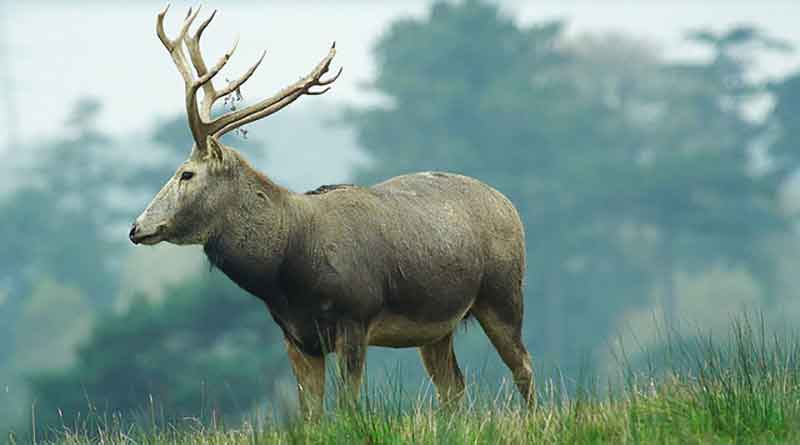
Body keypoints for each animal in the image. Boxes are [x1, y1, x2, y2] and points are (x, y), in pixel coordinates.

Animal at [128, 5, 536, 418]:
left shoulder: (355, 316)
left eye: (186, 173)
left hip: (503, 292)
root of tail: (509, 205)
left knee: (523, 366)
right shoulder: (296, 336)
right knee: (453, 386)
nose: (137, 227)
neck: (288, 271)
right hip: (438, 324)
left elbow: (348, 405)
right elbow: (311, 415)